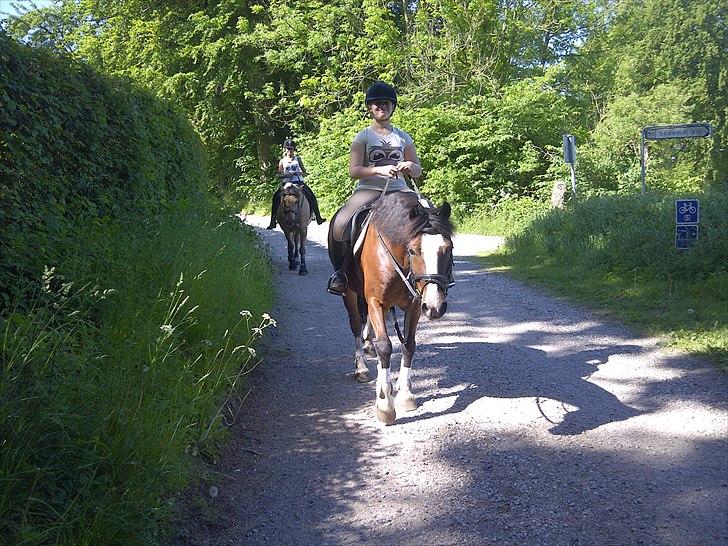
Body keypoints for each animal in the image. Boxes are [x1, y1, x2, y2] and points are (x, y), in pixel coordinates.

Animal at [332, 192, 452, 424]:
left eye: (448, 248)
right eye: (413, 251)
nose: (435, 307)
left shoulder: (415, 305)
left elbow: (408, 345)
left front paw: (405, 395)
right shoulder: (376, 302)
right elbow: (385, 347)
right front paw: (385, 405)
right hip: (349, 293)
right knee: (356, 325)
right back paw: (362, 368)